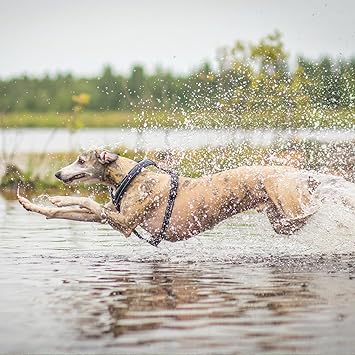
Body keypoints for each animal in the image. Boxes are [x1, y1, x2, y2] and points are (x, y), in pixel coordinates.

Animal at [18, 149, 322, 243]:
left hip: (289, 204)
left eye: (81, 160)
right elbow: (71, 212)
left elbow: (87, 200)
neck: (132, 177)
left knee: (310, 212)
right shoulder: (111, 216)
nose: (58, 174)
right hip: (279, 219)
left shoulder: (124, 222)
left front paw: (57, 198)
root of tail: (300, 174)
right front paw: (34, 205)